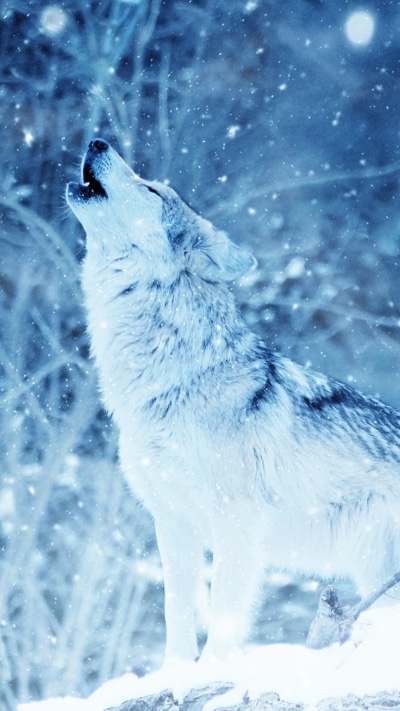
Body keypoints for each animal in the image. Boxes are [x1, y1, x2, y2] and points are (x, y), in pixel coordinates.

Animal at [67, 138, 400, 664]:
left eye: (152, 190)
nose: (98, 141)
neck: (173, 380)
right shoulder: (172, 523)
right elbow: (176, 612)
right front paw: (175, 673)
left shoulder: (236, 522)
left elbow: (224, 615)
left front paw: (212, 672)